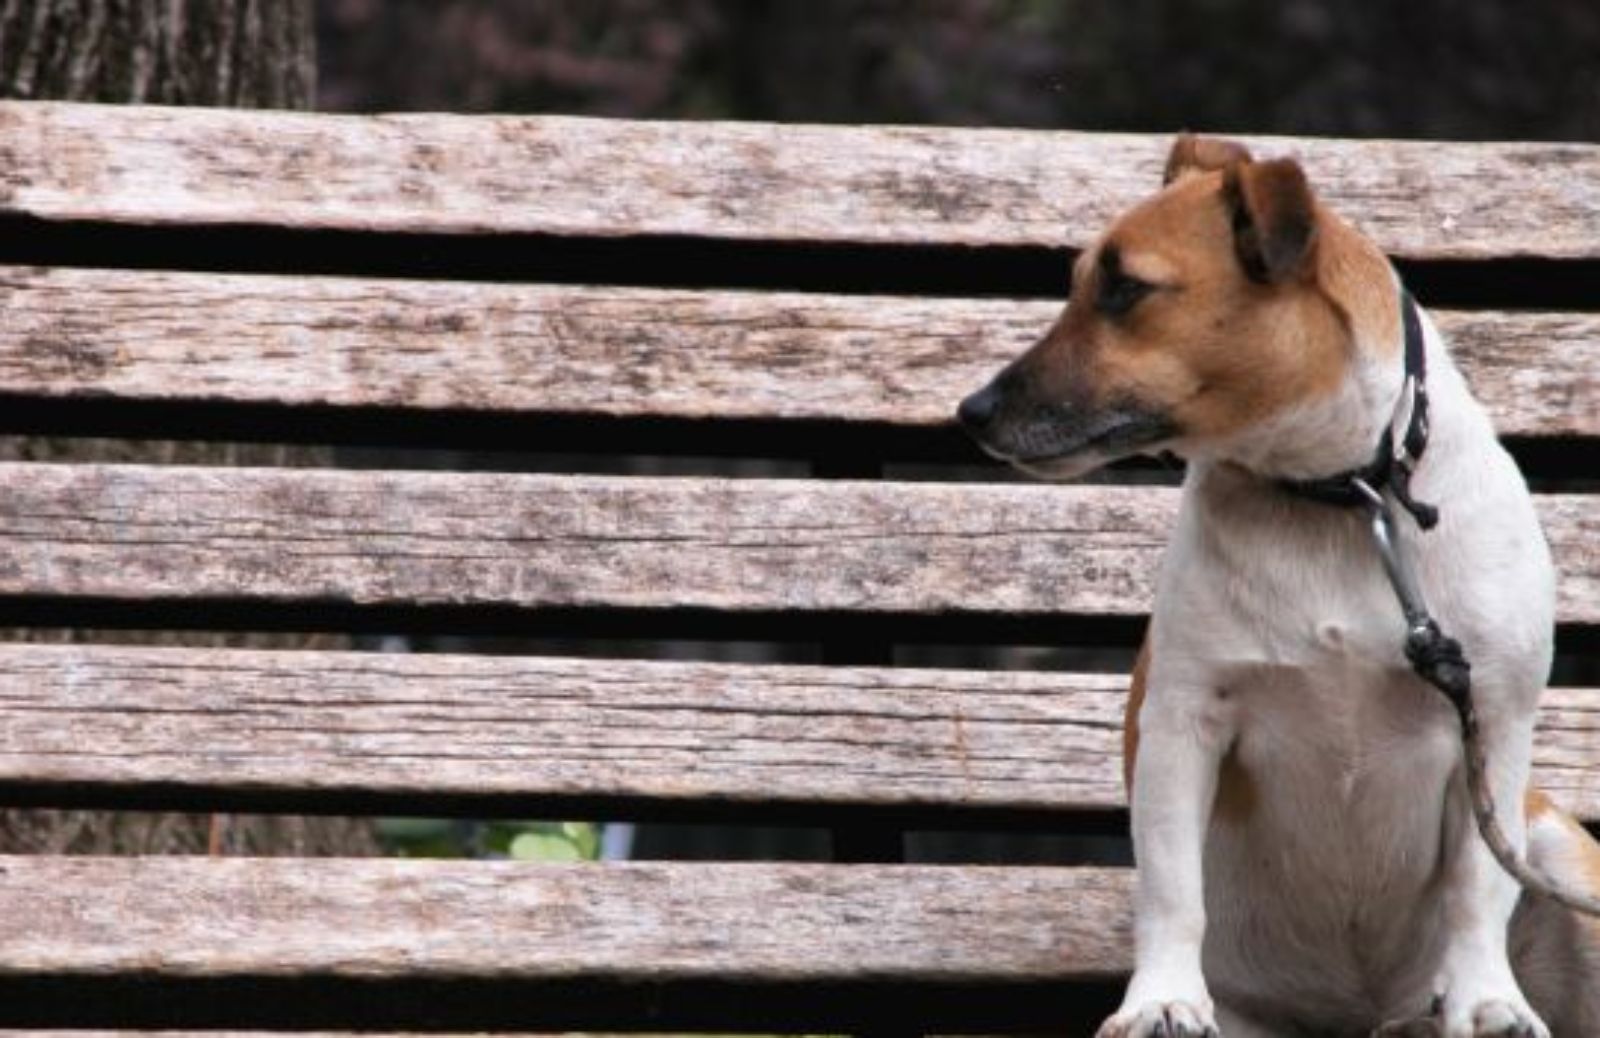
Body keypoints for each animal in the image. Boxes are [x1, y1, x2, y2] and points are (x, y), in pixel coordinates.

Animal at [960, 135, 1600, 1036]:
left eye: (1125, 289)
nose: (971, 411)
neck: (1339, 495)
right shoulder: (1183, 721)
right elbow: (1172, 889)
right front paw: (1161, 999)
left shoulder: (1496, 723)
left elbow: (1475, 888)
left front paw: (1485, 1001)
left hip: (1559, 854)